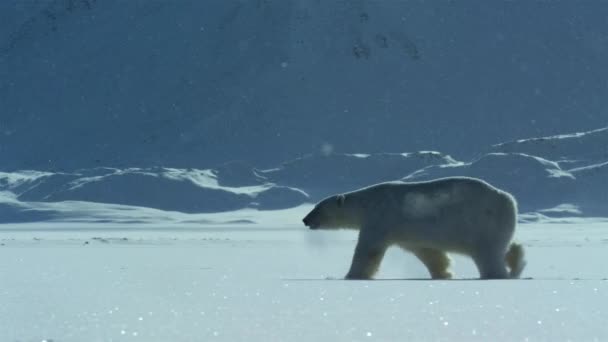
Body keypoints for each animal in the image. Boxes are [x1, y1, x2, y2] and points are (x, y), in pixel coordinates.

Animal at [304, 178, 528, 280]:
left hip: (483, 223)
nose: (305, 219)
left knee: (488, 253)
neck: (366, 204)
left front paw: (352, 275)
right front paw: (444, 272)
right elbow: (427, 251)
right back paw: (516, 261)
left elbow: (368, 249)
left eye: (317, 208)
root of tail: (509, 199)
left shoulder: (380, 219)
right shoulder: (407, 231)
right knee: (507, 246)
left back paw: (495, 274)